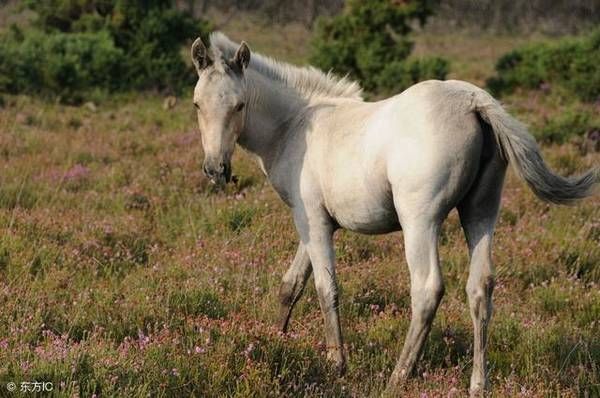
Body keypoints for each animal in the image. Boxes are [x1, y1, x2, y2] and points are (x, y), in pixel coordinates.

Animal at [190, 31, 596, 394]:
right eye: (197, 104)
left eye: (239, 105)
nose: (215, 169)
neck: (295, 125)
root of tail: (473, 101)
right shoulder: (316, 223)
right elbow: (291, 285)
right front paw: (274, 338)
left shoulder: (313, 220)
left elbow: (325, 287)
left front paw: (336, 363)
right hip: (480, 213)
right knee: (480, 287)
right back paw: (478, 384)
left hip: (420, 222)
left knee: (427, 289)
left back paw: (399, 377)